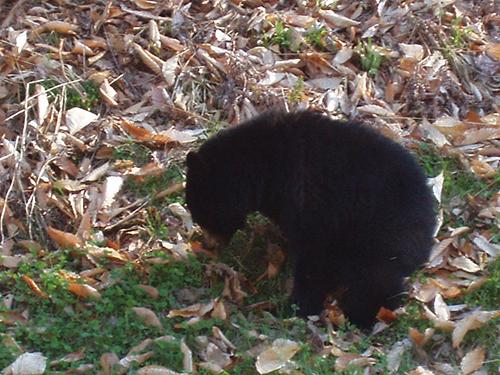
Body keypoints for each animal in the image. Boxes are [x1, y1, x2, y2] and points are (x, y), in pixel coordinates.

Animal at [186, 110, 436, 328]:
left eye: (201, 213)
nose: (208, 245)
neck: (265, 168)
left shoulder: (313, 204)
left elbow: (313, 256)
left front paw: (298, 305)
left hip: (381, 236)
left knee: (377, 280)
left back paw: (360, 314)